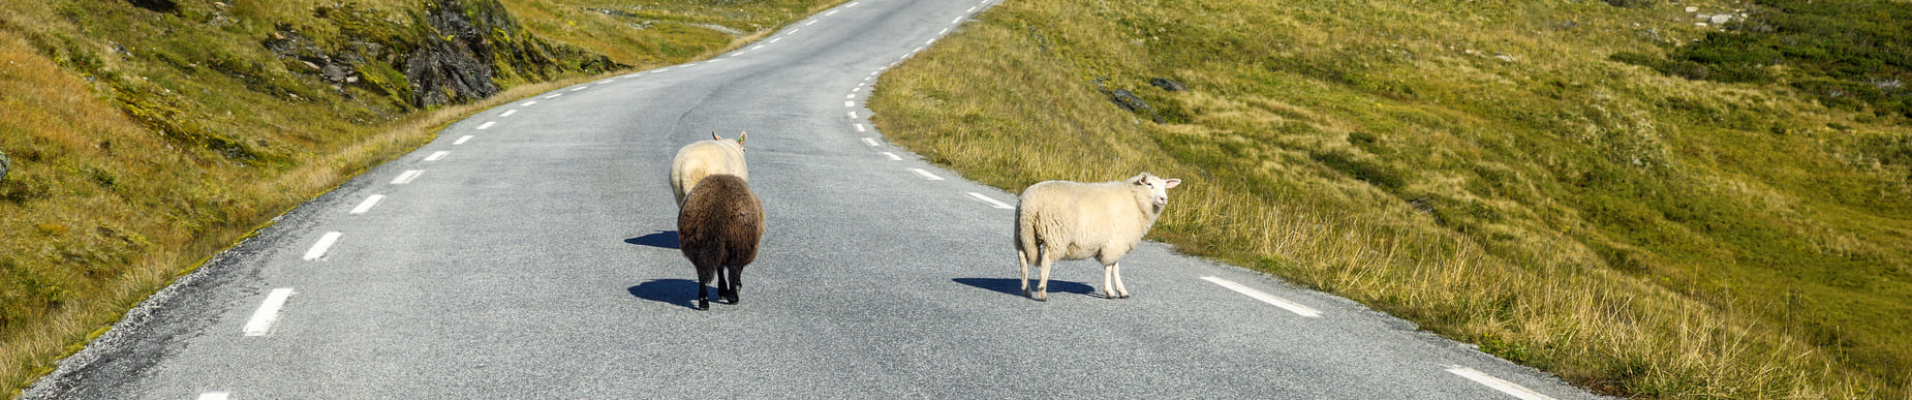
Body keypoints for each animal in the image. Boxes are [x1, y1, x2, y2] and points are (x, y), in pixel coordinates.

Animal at [673, 172, 760, 310]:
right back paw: (733, 297)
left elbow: (719, 270)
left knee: (702, 273)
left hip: (697, 246)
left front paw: (722, 291)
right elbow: (734, 271)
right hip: (738, 244)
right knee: (733, 270)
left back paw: (703, 301)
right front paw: (732, 289)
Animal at [1017, 172, 1177, 300]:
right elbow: (1110, 267)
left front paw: (1121, 291)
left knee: (1023, 259)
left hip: (1023, 233)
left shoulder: (1115, 242)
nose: (1164, 199)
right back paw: (1042, 292)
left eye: (1165, 187)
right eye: (1149, 184)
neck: (1135, 200)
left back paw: (1026, 290)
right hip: (1054, 234)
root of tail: (1030, 203)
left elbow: (1115, 267)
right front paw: (1110, 292)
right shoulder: (1114, 242)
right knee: (1046, 261)